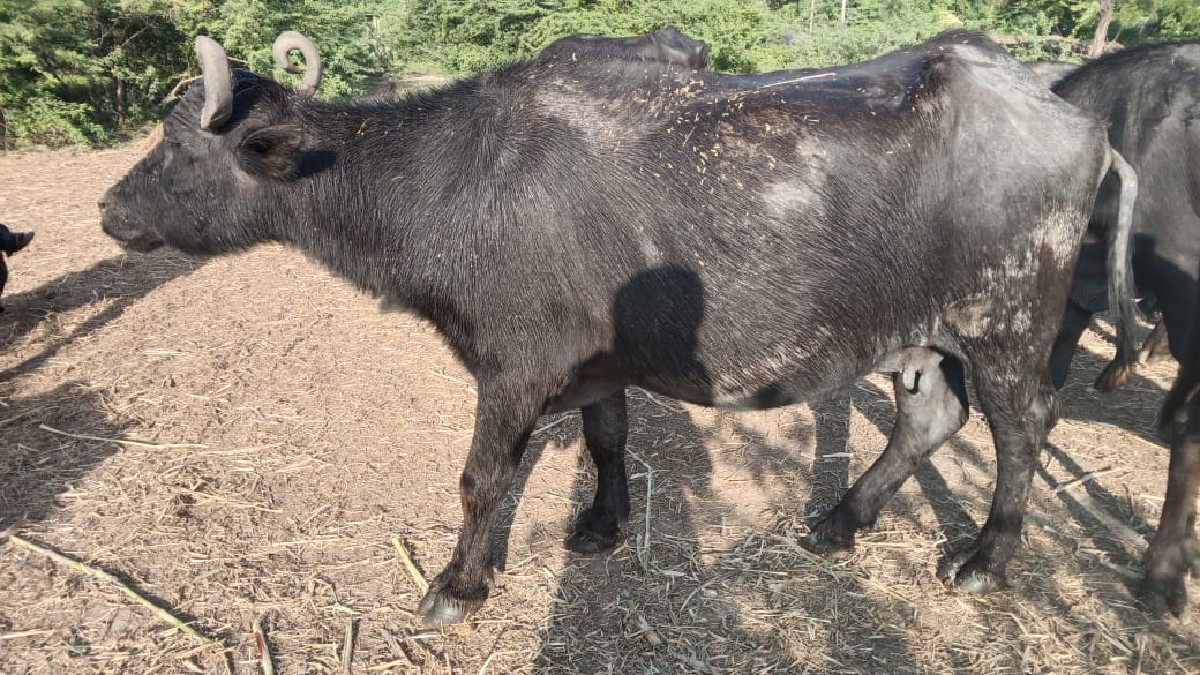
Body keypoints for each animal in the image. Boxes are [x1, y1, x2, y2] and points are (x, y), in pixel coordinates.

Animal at [98, 28, 1136, 627]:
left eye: (177, 146)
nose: (109, 209)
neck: (452, 181)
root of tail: (1073, 117)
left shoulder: (512, 367)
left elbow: (481, 478)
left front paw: (456, 587)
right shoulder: (594, 365)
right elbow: (607, 436)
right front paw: (600, 523)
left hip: (1008, 322)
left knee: (1022, 427)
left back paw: (983, 559)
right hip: (916, 334)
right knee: (929, 419)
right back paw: (837, 522)